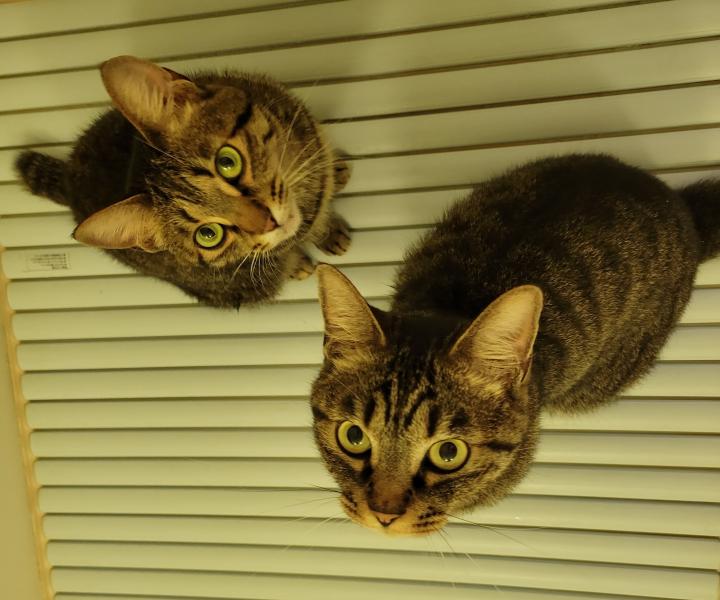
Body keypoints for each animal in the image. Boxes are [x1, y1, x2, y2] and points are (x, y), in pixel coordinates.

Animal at [15, 55, 351, 308]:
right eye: (208, 235)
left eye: (227, 162)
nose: (270, 222)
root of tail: (70, 177)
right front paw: (324, 236)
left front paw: (333, 185)